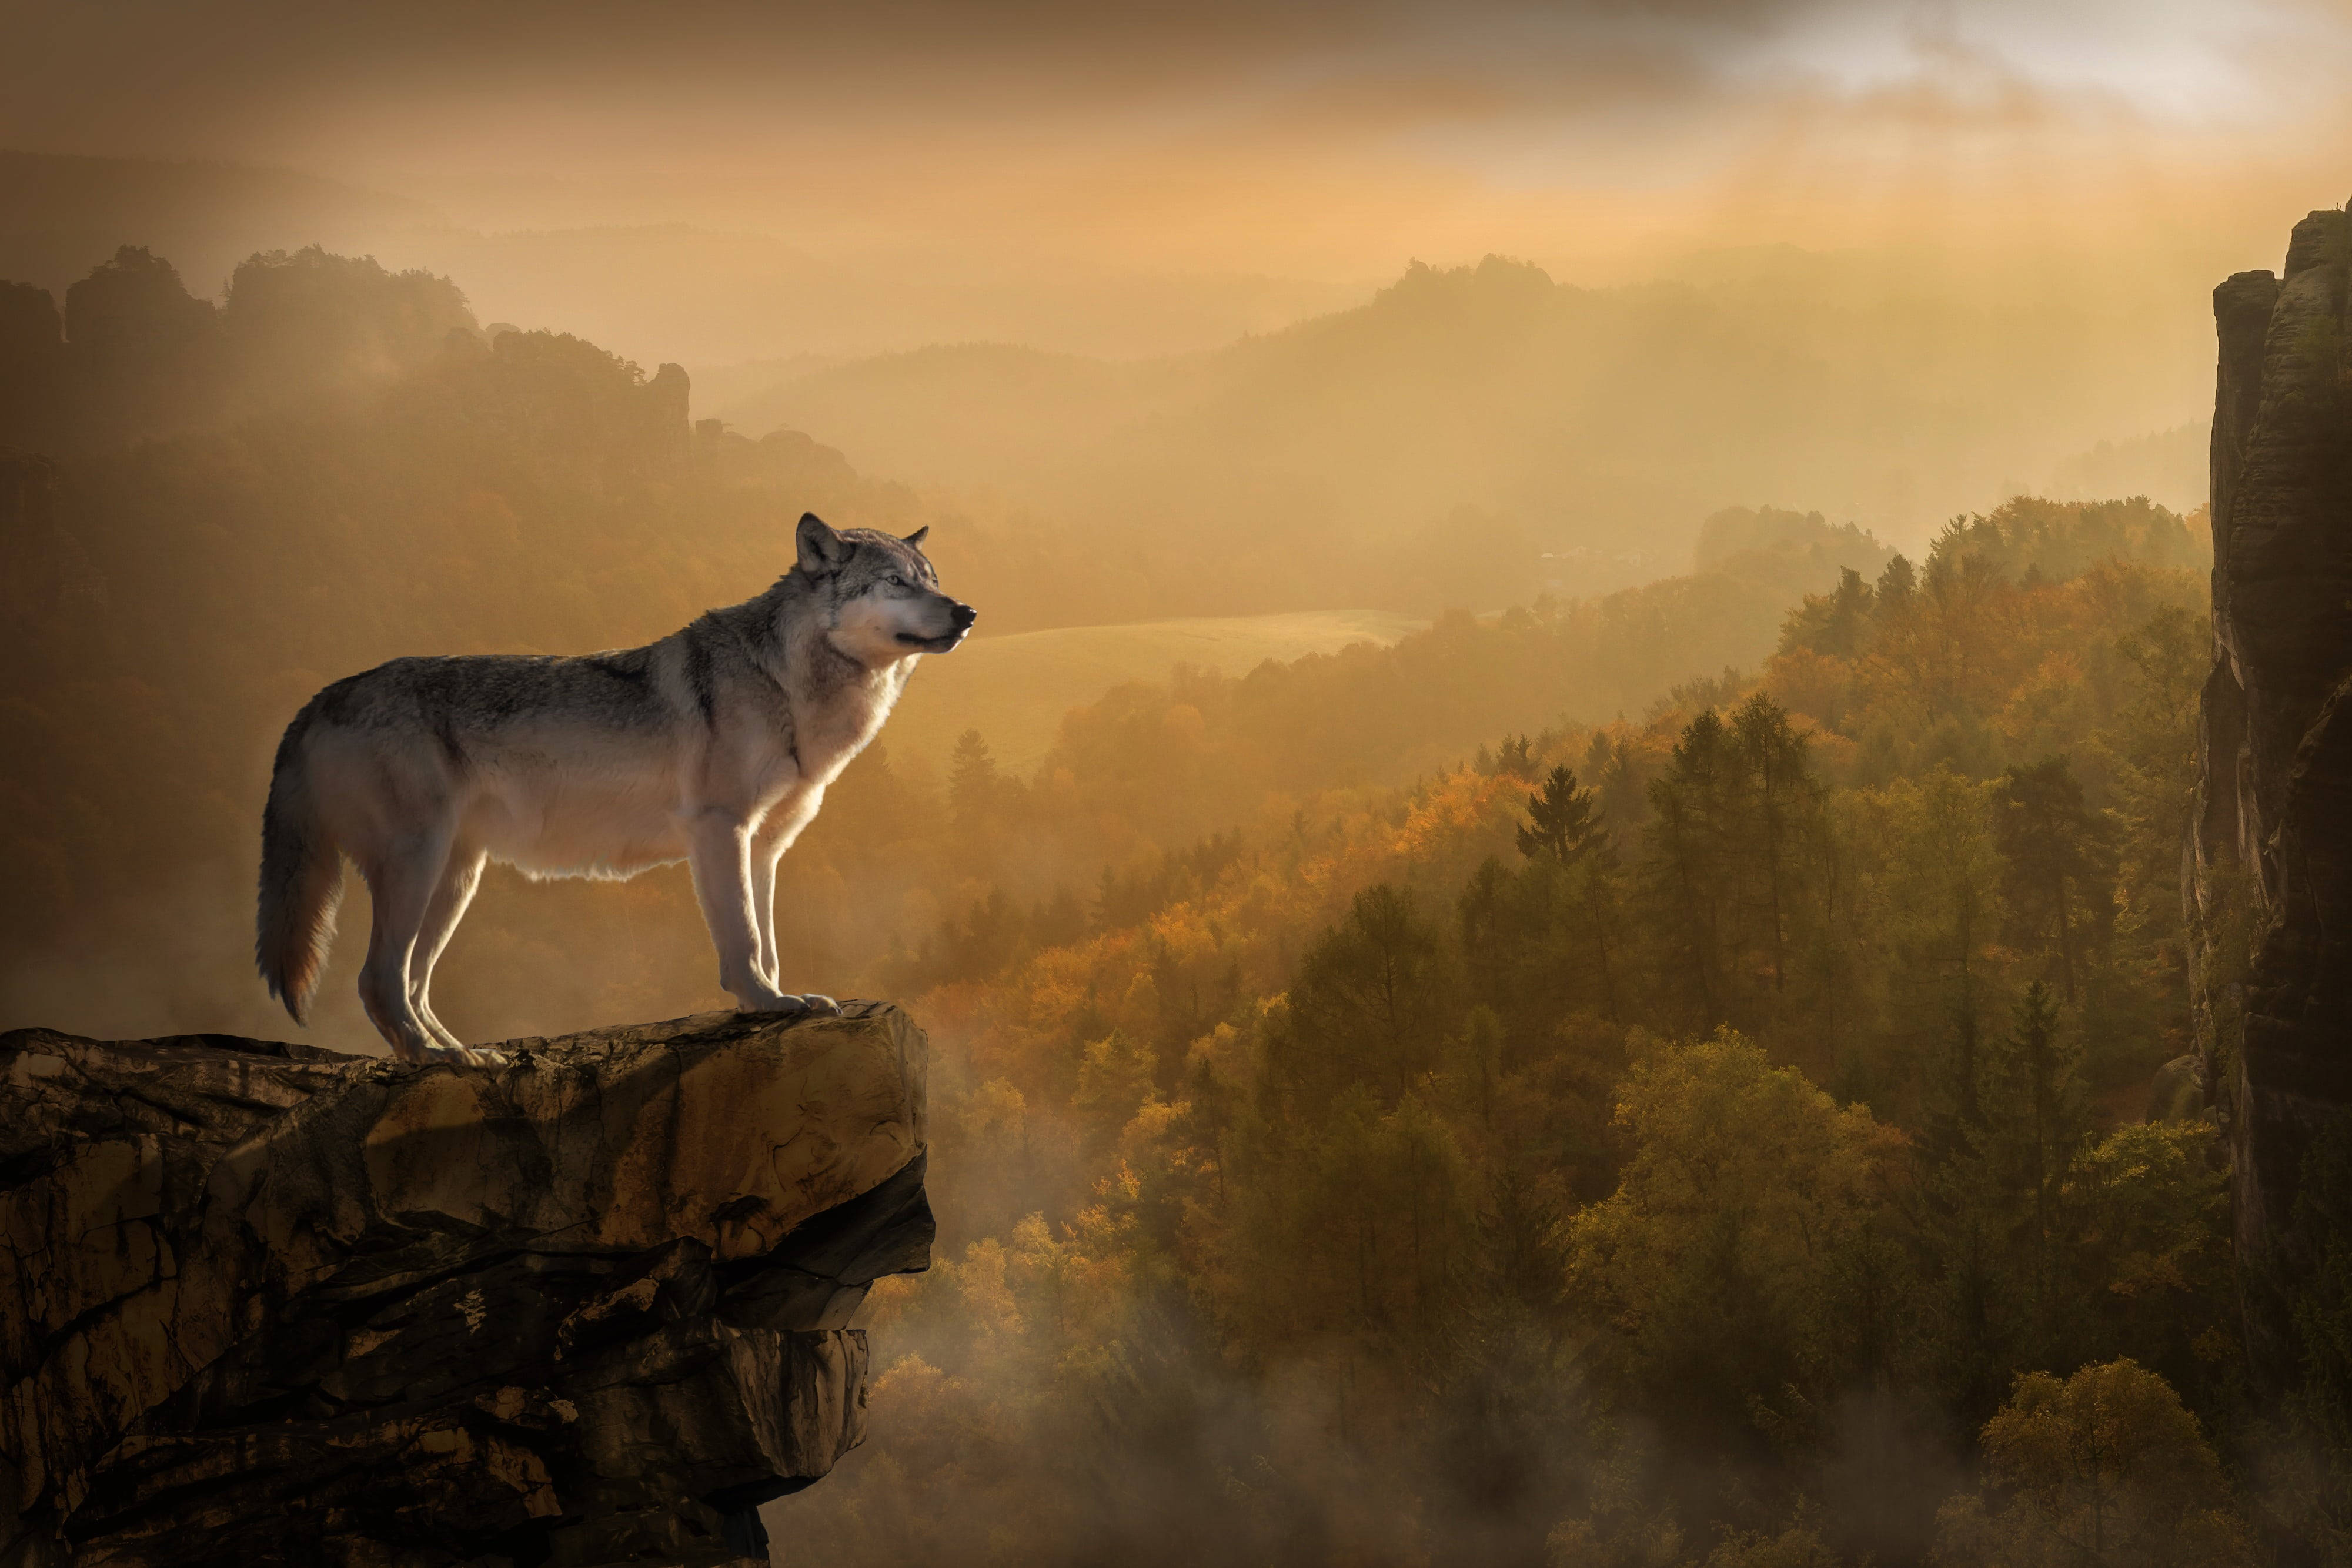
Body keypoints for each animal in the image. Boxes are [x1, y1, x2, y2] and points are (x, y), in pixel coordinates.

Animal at [248, 514, 964, 1067]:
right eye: (896, 582)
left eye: (932, 578)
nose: (969, 611)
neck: (787, 683)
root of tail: (320, 698)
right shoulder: (719, 830)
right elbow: (743, 940)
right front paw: (764, 1003)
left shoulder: (765, 848)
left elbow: (769, 940)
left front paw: (783, 1001)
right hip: (419, 866)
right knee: (378, 979)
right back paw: (433, 1058)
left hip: (455, 881)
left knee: (413, 984)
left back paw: (462, 1056)